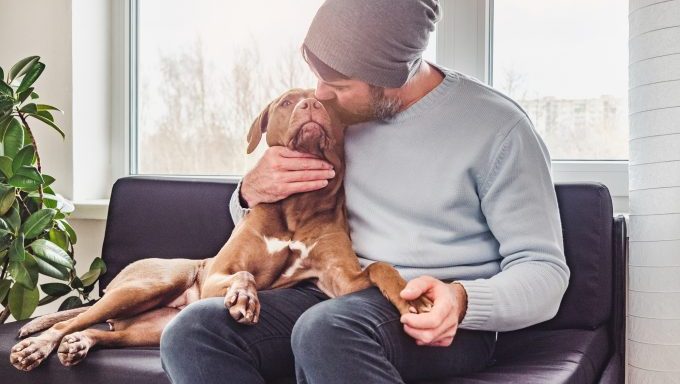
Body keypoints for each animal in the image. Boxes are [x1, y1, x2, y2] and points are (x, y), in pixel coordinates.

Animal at [9, 89, 430, 372]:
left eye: (327, 102)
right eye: (286, 102)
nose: (311, 106)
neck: (298, 205)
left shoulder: (341, 281)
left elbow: (380, 268)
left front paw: (414, 300)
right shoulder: (216, 275)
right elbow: (244, 273)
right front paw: (245, 298)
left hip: (151, 329)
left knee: (101, 331)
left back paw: (80, 343)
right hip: (149, 285)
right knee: (74, 318)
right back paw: (38, 346)